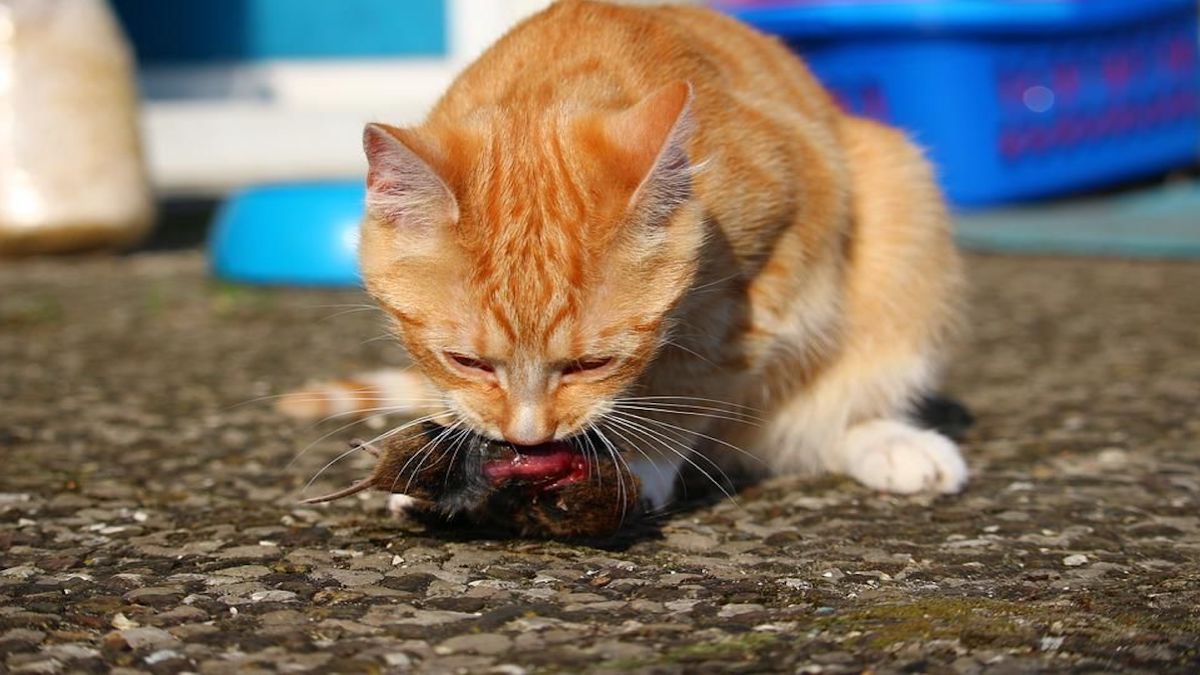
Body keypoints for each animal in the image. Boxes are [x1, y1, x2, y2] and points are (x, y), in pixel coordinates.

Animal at [280, 0, 964, 504]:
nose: (529, 437)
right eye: (466, 361)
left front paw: (639, 462)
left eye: (593, 365)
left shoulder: (771, 272)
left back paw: (894, 445)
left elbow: (689, 383)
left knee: (820, 420)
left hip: (902, 199)